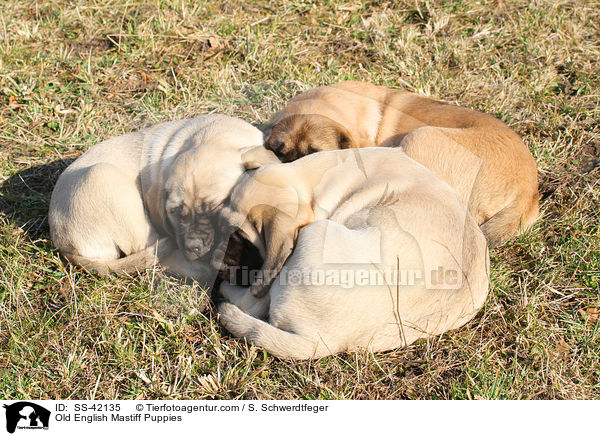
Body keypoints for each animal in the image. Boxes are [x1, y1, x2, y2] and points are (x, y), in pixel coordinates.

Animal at [50, 114, 266, 282]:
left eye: (215, 207)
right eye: (176, 213)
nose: (193, 247)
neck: (214, 136)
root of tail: (63, 243)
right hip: (104, 177)